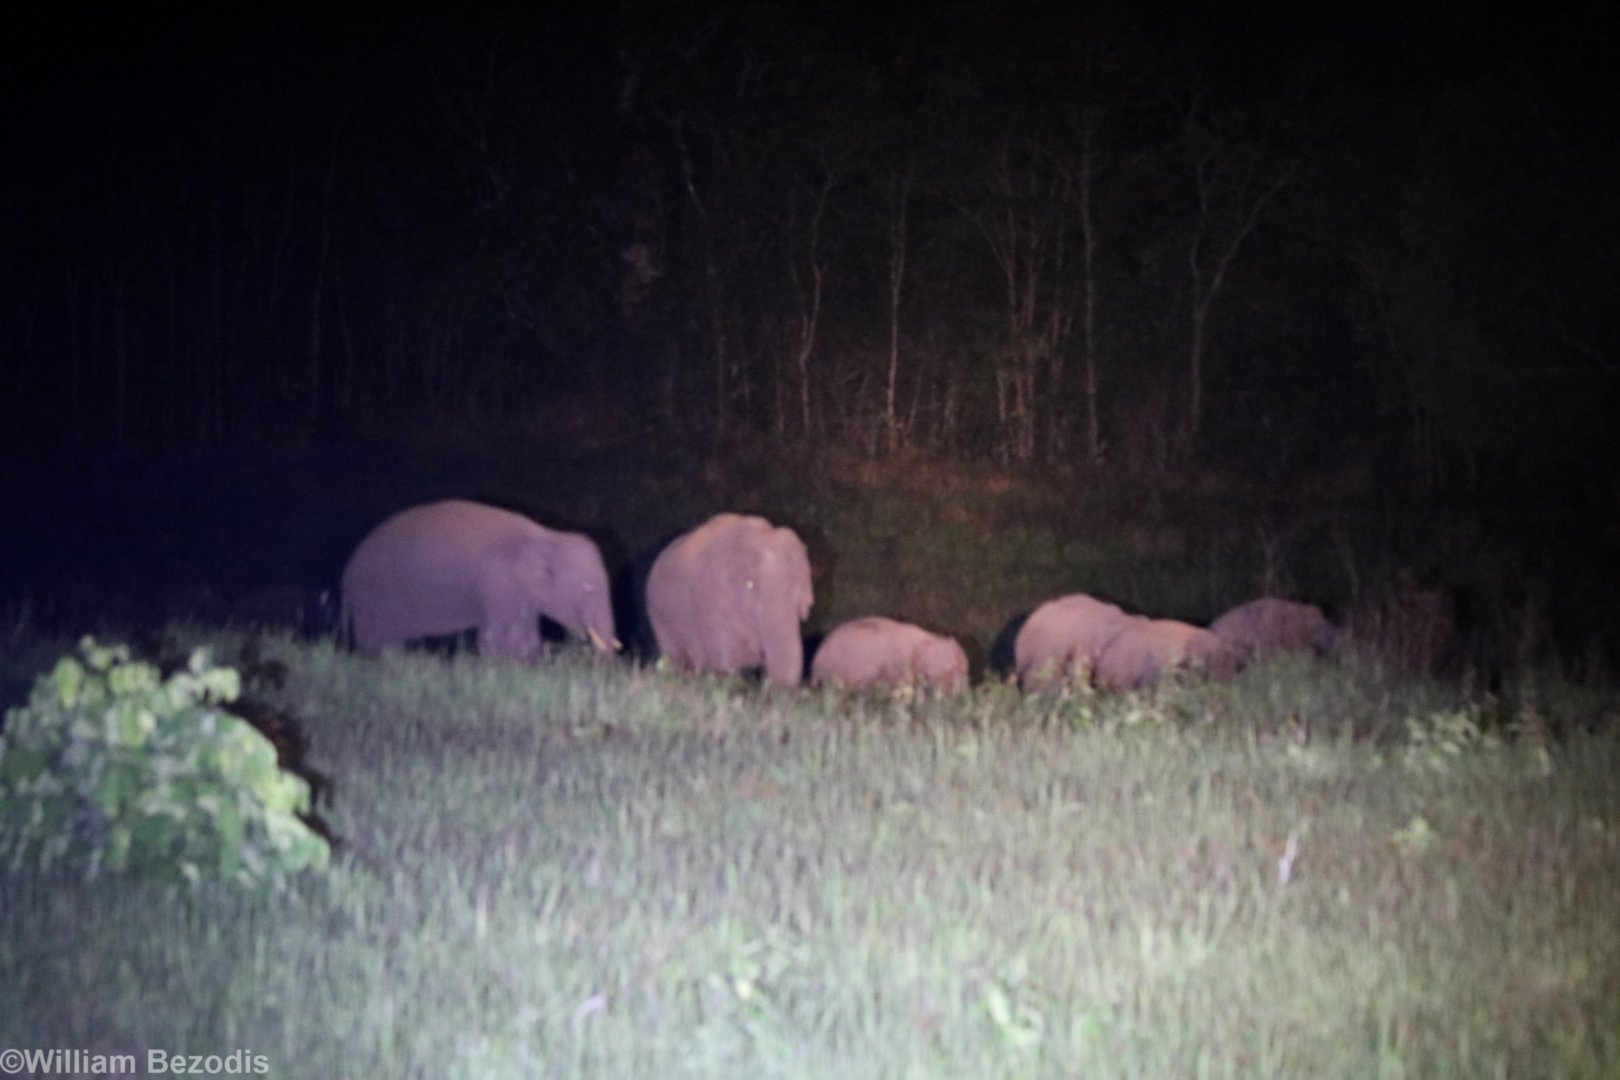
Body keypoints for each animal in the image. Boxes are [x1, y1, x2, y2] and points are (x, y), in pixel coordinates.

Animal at [339, 500, 618, 660]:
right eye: (587, 588)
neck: (546, 535)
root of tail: (347, 575)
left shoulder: (520, 593)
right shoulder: (499, 583)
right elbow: (505, 638)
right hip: (374, 599)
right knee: (377, 642)